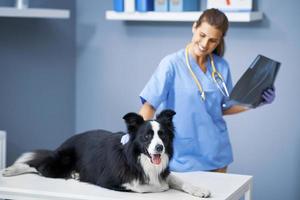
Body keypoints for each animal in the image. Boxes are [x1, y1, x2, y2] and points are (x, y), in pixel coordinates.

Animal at [2, 110, 210, 198]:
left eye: (163, 136)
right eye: (147, 136)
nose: (159, 148)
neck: (138, 159)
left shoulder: (162, 171)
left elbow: (176, 179)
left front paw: (199, 190)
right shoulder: (109, 180)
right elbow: (145, 186)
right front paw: (161, 187)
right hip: (59, 163)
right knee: (37, 165)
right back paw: (11, 170)